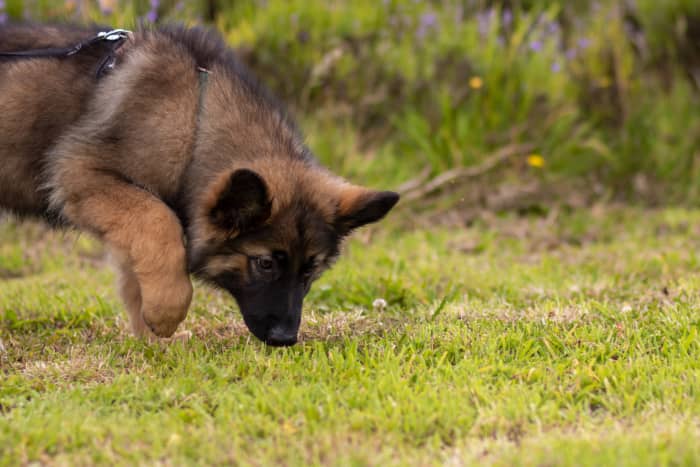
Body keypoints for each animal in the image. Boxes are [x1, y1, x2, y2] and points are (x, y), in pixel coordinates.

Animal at [0, 24, 400, 348]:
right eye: (265, 264)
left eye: (310, 270)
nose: (285, 339)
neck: (195, 121)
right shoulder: (80, 170)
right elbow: (159, 221)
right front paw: (167, 312)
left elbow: (136, 268)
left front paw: (152, 336)